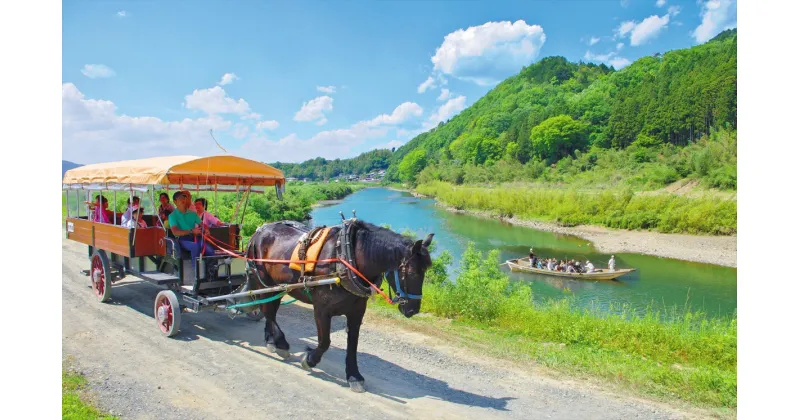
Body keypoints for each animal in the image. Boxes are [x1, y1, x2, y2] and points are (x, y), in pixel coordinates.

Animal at [242, 218, 434, 392]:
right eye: (411, 272)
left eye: (425, 271)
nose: (413, 309)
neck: (345, 260)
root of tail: (259, 230)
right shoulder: (321, 310)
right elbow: (325, 342)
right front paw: (309, 359)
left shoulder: (357, 312)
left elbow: (353, 344)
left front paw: (354, 376)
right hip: (264, 281)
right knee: (268, 311)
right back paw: (280, 343)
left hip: (277, 286)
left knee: (270, 309)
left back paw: (271, 340)